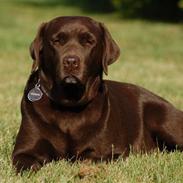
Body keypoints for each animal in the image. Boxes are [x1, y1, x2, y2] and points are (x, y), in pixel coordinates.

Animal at [12, 16, 183, 173]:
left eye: (88, 41)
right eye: (57, 41)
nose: (71, 62)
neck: (69, 105)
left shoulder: (112, 152)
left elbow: (86, 158)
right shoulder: (23, 152)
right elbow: (26, 164)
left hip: (162, 118)